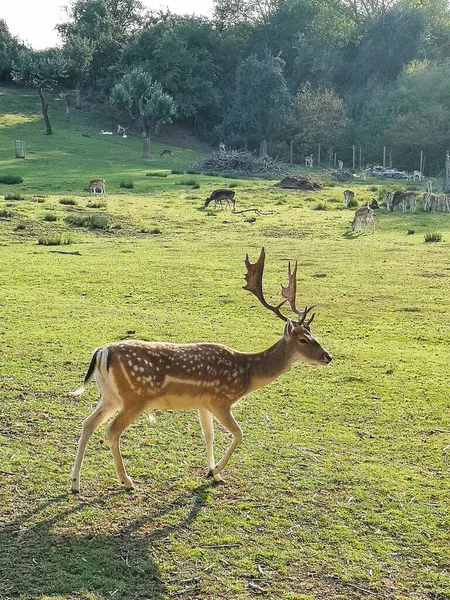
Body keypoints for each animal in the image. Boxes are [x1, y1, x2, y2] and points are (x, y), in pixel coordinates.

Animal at [69, 248, 330, 492]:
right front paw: (214, 471)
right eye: (303, 339)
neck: (247, 373)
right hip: (135, 397)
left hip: (110, 396)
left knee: (88, 423)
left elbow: (209, 435)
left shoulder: (203, 403)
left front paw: (214, 474)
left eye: (314, 334)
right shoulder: (220, 400)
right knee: (111, 431)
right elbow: (239, 434)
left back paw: (75, 483)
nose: (328, 357)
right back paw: (126, 481)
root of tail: (102, 351)